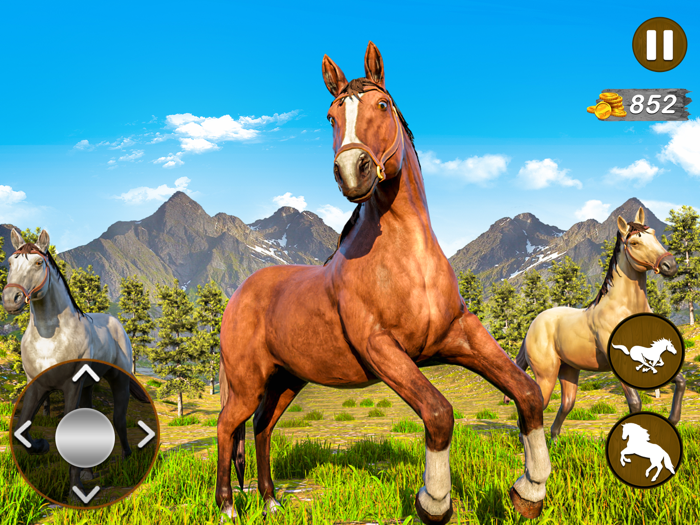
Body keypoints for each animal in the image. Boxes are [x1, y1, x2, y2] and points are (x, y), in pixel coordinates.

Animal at [1, 228, 148, 502]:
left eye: (38, 263)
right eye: (10, 262)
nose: (10, 299)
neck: (50, 337)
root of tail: (117, 323)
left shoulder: (71, 386)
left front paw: (74, 491)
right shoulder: (37, 386)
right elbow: (22, 429)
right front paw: (43, 446)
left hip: (119, 380)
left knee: (119, 419)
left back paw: (126, 459)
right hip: (88, 386)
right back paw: (89, 472)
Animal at [215, 41, 551, 524]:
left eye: (382, 105)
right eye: (331, 116)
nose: (351, 171)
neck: (407, 264)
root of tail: (239, 295)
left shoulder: (459, 336)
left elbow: (527, 392)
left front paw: (529, 491)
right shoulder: (381, 348)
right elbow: (438, 412)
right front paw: (434, 501)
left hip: (285, 380)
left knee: (261, 426)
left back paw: (271, 500)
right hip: (248, 383)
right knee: (227, 426)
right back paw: (227, 506)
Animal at [504, 207, 683, 441]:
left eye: (653, 233)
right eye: (635, 242)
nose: (670, 265)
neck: (623, 310)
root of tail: (533, 325)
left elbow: (680, 381)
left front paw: (673, 420)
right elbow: (635, 402)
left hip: (568, 372)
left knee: (565, 405)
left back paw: (555, 443)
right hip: (546, 375)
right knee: (533, 409)